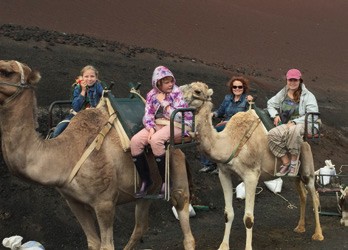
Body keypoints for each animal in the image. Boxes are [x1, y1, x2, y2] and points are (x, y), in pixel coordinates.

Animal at [0, 60, 196, 250]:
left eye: (7, 72)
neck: (67, 154)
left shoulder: (104, 203)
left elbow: (106, 246)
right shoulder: (73, 201)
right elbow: (93, 242)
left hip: (177, 175)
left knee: (185, 222)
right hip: (147, 191)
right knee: (141, 225)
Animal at [179, 81, 324, 250]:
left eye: (197, 91)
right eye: (183, 87)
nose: (180, 100)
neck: (229, 142)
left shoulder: (251, 176)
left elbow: (248, 218)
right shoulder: (224, 173)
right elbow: (228, 213)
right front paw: (223, 246)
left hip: (307, 166)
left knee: (314, 194)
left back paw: (318, 234)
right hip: (296, 174)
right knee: (303, 195)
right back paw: (300, 227)